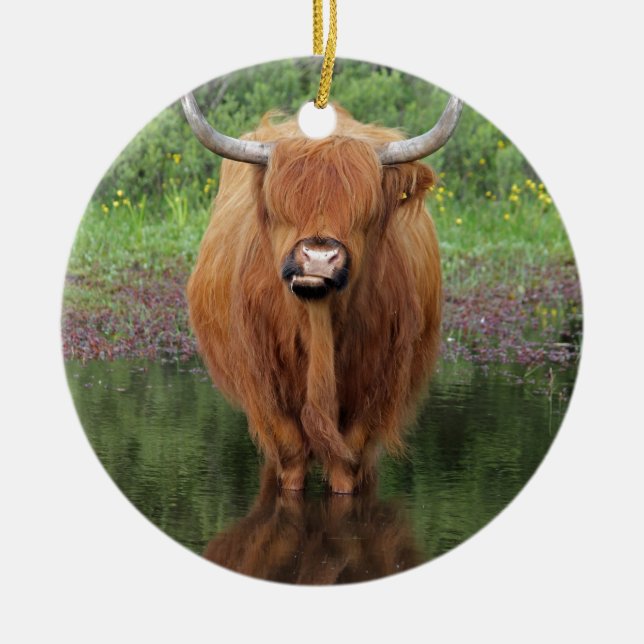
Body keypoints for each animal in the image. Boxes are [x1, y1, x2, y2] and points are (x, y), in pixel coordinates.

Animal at [182, 91, 462, 494]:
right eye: (279, 208)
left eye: (365, 211)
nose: (318, 257)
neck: (318, 324)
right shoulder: (264, 385)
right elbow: (291, 457)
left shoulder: (377, 386)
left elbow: (349, 463)